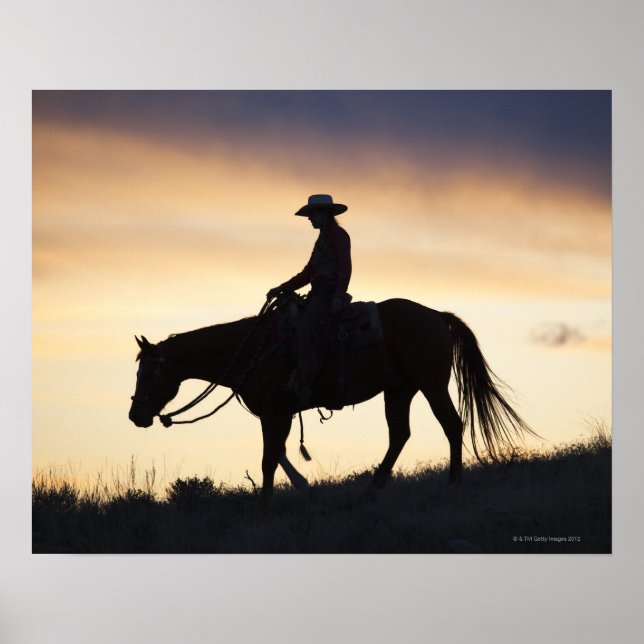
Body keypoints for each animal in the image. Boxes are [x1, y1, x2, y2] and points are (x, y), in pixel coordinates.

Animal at [128, 297, 536, 510]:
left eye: (149, 373)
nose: (136, 415)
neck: (253, 348)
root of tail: (438, 316)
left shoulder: (276, 413)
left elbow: (268, 459)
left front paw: (268, 504)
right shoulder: (277, 415)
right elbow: (277, 455)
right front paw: (303, 488)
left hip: (431, 384)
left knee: (451, 425)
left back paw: (453, 483)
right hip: (399, 390)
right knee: (399, 435)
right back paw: (372, 489)